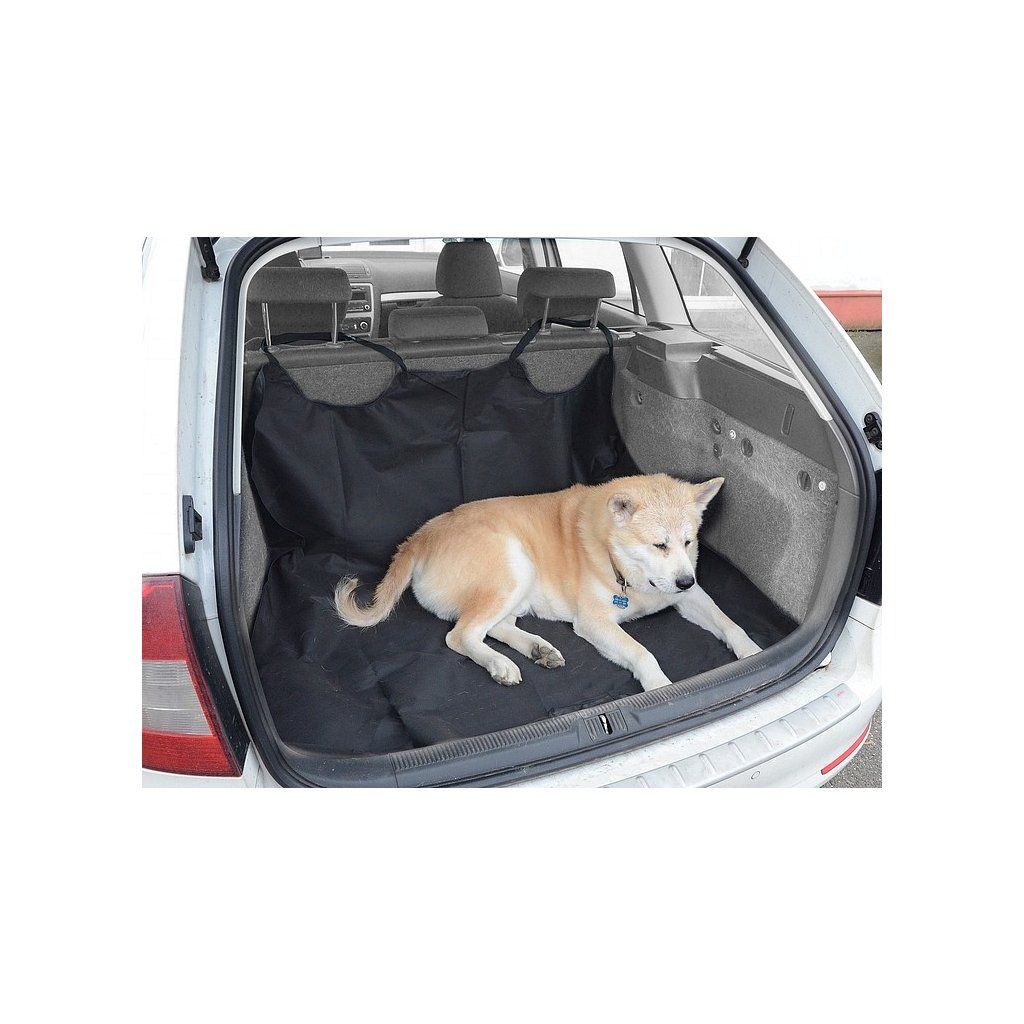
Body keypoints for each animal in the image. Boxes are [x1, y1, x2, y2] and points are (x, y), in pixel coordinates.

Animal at [334, 474, 761, 691]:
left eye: (689, 541)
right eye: (660, 544)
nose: (685, 580)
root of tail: (418, 538)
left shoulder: (687, 596)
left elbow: (729, 623)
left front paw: (752, 651)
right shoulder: (595, 622)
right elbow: (642, 653)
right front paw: (659, 685)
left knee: (495, 627)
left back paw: (537, 649)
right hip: (513, 565)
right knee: (461, 635)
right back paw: (500, 664)